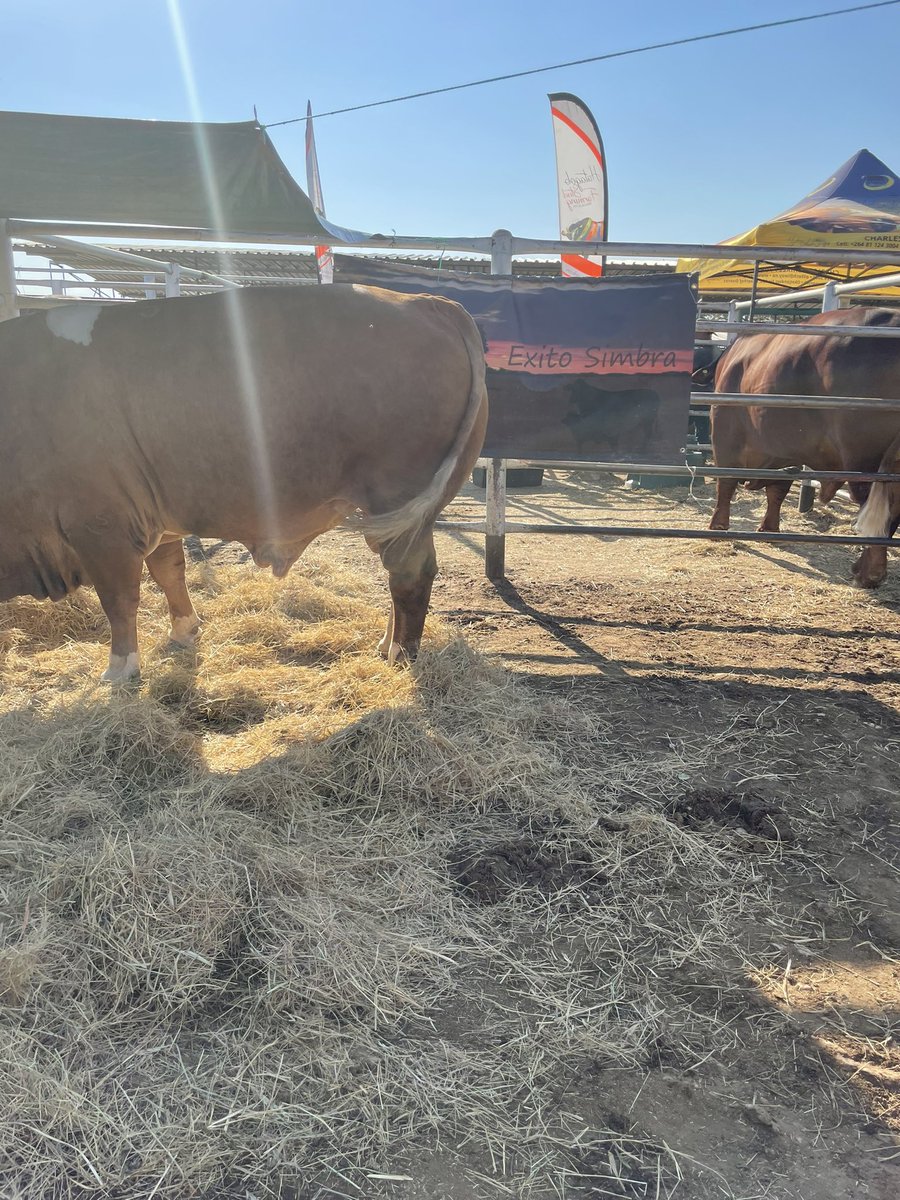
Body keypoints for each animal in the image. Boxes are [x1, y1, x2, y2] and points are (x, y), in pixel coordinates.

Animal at [0, 285, 488, 681]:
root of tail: (430, 302)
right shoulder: (155, 517)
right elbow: (169, 572)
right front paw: (184, 631)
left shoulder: (101, 526)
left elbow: (119, 600)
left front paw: (120, 669)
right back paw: (387, 643)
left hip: (398, 497)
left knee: (409, 573)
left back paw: (400, 654)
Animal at [708, 307, 900, 534]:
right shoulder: (787, 452)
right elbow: (778, 487)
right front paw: (769, 527)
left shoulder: (724, 427)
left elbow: (726, 479)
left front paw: (718, 526)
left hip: (864, 457)